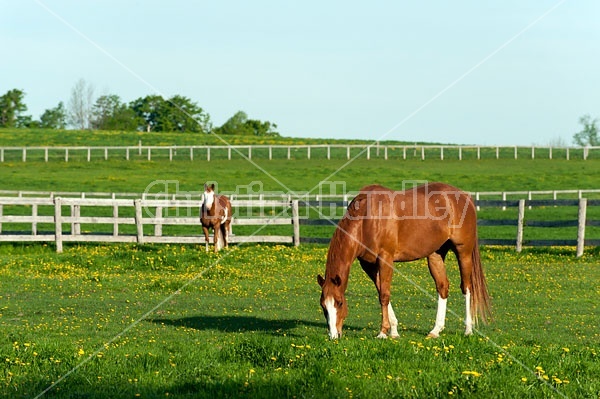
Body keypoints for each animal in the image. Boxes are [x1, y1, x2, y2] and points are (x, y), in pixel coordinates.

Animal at [316, 183, 490, 340]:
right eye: (323, 306)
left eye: (339, 303)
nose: (334, 335)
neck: (366, 219)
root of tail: (466, 196)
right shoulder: (369, 265)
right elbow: (381, 292)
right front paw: (393, 330)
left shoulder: (385, 259)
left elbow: (384, 295)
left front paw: (382, 332)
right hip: (435, 255)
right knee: (443, 287)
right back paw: (435, 330)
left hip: (463, 252)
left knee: (466, 287)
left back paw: (468, 329)